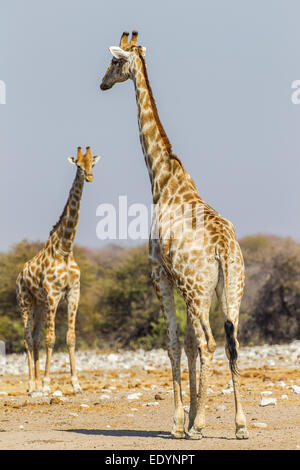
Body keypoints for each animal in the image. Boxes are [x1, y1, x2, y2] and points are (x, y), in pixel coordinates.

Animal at [16, 147, 101, 396]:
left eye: (92, 164)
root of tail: (19, 275)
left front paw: (76, 384)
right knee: (27, 337)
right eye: (79, 166)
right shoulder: (53, 295)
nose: (89, 177)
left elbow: (70, 337)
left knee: (34, 337)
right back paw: (32, 385)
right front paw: (46, 383)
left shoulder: (73, 293)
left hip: (39, 304)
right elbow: (51, 338)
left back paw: (35, 384)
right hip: (25, 301)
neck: (65, 249)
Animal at [100, 31, 248, 438]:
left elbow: (174, 344)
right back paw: (240, 424)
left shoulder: (160, 275)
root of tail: (223, 249)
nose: (102, 83)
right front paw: (194, 417)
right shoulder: (182, 284)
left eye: (114, 62)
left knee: (210, 342)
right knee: (231, 341)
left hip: (199, 289)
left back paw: (198, 426)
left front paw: (180, 422)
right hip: (230, 288)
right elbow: (188, 345)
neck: (163, 180)